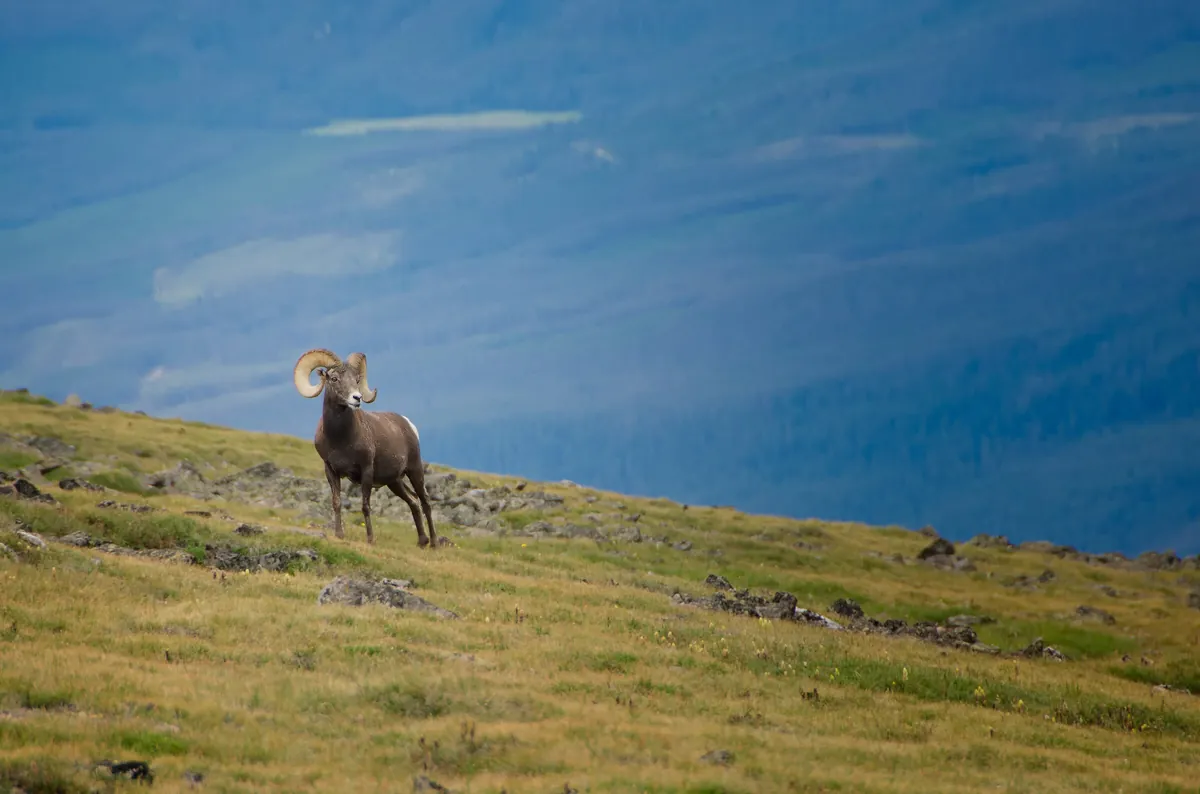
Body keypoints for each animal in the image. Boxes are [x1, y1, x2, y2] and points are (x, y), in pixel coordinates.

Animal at [292, 348, 438, 548]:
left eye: (356, 380)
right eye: (334, 378)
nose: (357, 398)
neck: (340, 439)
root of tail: (408, 424)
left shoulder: (366, 470)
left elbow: (365, 506)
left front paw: (370, 539)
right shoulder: (330, 470)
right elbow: (336, 502)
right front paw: (339, 534)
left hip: (415, 470)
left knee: (425, 502)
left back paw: (434, 543)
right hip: (394, 482)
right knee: (414, 502)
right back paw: (422, 541)